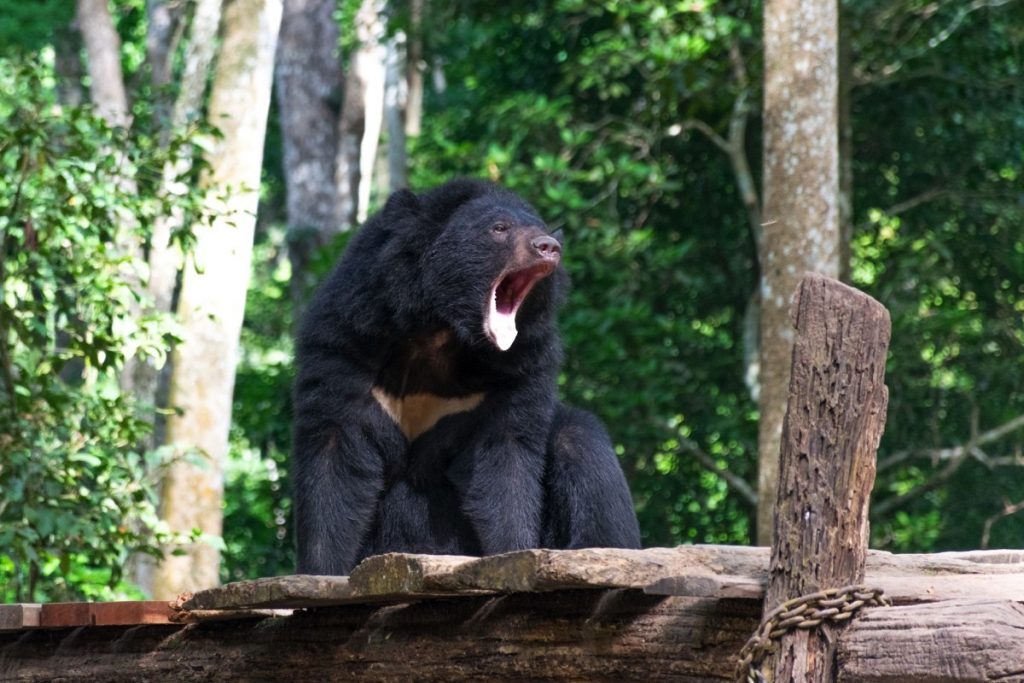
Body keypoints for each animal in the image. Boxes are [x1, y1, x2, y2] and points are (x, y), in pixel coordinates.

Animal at [290, 179, 638, 573]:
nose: (549, 247)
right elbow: (336, 456)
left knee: (580, 442)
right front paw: (322, 571)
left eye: (542, 229)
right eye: (499, 228)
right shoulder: (347, 343)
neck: (443, 330)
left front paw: (512, 556)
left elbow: (505, 462)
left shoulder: (519, 367)